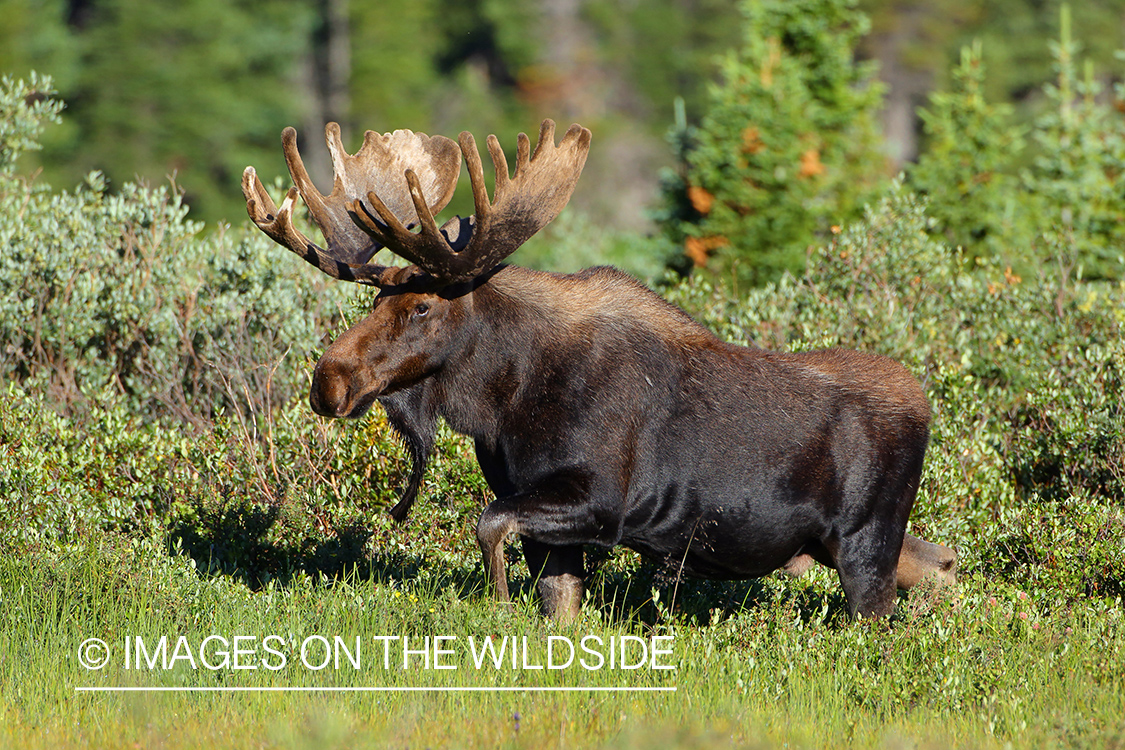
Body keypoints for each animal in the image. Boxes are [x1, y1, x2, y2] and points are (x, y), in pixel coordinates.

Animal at [241, 119, 956, 623]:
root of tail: (926, 405)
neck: (502, 405)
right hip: (853, 543)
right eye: (373, 301)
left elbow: (489, 523)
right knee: (943, 563)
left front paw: (497, 608)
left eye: (421, 307)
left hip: (866, 540)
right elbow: (553, 602)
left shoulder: (601, 500)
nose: (328, 379)